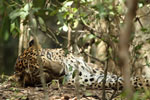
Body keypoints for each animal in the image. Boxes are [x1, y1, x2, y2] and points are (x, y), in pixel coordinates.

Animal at [13, 39, 150, 90]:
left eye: (48, 56)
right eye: (40, 72)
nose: (63, 71)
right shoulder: (87, 79)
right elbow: (122, 81)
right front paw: (145, 81)